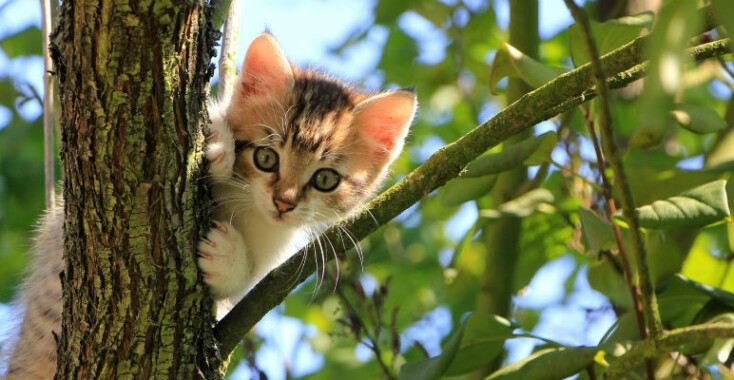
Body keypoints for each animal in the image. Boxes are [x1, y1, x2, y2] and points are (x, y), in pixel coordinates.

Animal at [2, 33, 416, 380]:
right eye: (267, 157)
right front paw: (218, 142)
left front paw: (226, 256)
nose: (283, 202)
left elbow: (242, 284)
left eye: (325, 179)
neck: (247, 205)